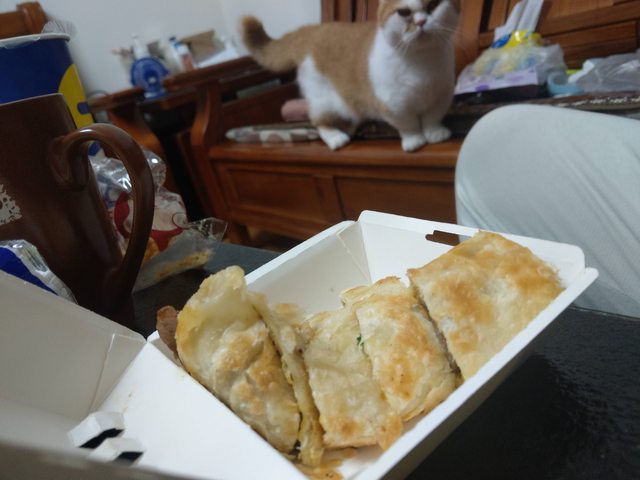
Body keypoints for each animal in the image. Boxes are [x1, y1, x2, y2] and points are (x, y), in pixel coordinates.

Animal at [240, 0, 460, 152]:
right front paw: (415, 140)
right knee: (318, 121)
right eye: (404, 12)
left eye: (433, 4)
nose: (421, 22)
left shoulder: (441, 96)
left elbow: (432, 118)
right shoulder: (394, 105)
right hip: (325, 101)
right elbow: (409, 124)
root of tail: (313, 30)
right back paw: (336, 138)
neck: (422, 62)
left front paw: (434, 133)